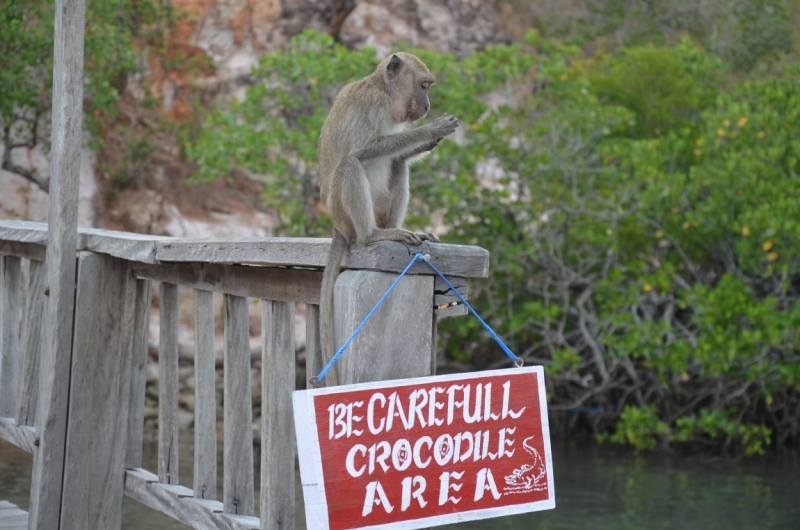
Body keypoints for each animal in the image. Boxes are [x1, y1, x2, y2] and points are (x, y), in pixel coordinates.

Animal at [316, 52, 460, 384]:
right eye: (424, 85)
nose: (427, 106)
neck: (382, 88)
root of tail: (337, 227)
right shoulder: (375, 105)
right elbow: (365, 149)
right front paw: (431, 131)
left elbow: (399, 155)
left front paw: (428, 140)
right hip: (344, 214)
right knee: (350, 164)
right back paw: (373, 236)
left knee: (397, 164)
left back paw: (397, 228)